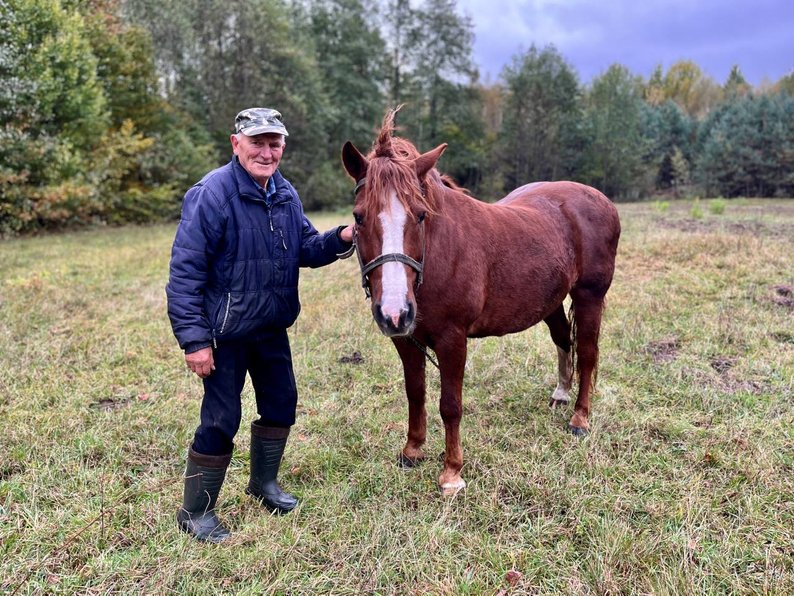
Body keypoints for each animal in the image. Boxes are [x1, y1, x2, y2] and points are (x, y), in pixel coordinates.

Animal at [340, 109, 620, 496]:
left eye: (420, 215)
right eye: (358, 216)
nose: (394, 311)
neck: (437, 255)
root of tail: (600, 199)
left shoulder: (452, 340)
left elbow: (450, 405)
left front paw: (451, 474)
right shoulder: (405, 340)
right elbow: (415, 393)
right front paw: (412, 451)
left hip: (589, 296)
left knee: (589, 354)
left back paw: (580, 418)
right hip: (550, 300)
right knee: (564, 340)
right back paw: (561, 394)